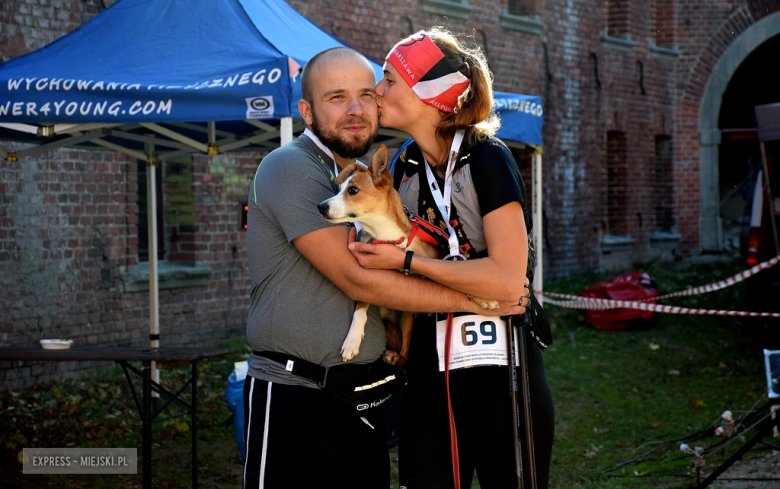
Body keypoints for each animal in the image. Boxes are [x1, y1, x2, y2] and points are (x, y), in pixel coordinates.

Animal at [316, 143, 494, 364]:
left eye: (353, 190)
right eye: (339, 189)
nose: (321, 207)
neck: (391, 238)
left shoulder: (438, 261)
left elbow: (454, 279)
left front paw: (484, 298)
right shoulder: (368, 277)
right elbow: (360, 309)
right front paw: (352, 340)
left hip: (408, 318)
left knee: (406, 352)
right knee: (404, 355)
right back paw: (392, 355)